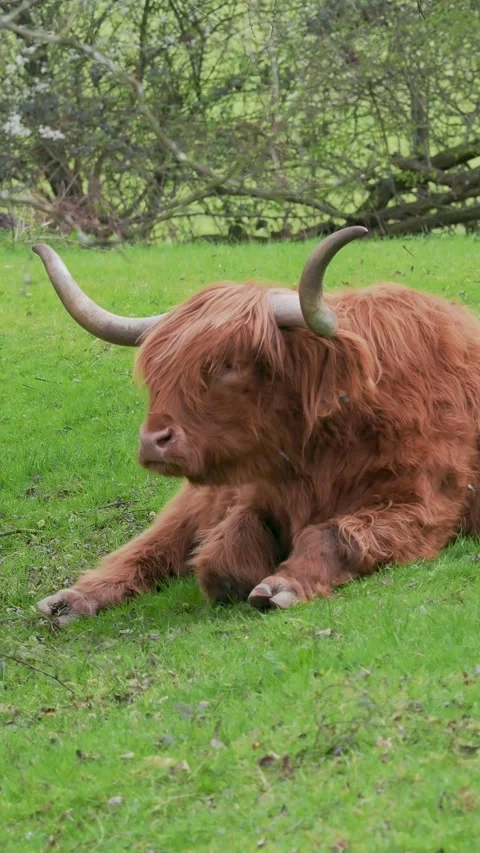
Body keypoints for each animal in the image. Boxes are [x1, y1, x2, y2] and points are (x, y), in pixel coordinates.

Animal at [32, 227, 480, 627]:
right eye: (159, 371)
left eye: (231, 365)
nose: (153, 441)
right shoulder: (250, 494)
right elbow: (226, 546)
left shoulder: (421, 505)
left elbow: (332, 534)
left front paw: (282, 585)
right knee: (153, 544)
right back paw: (72, 601)